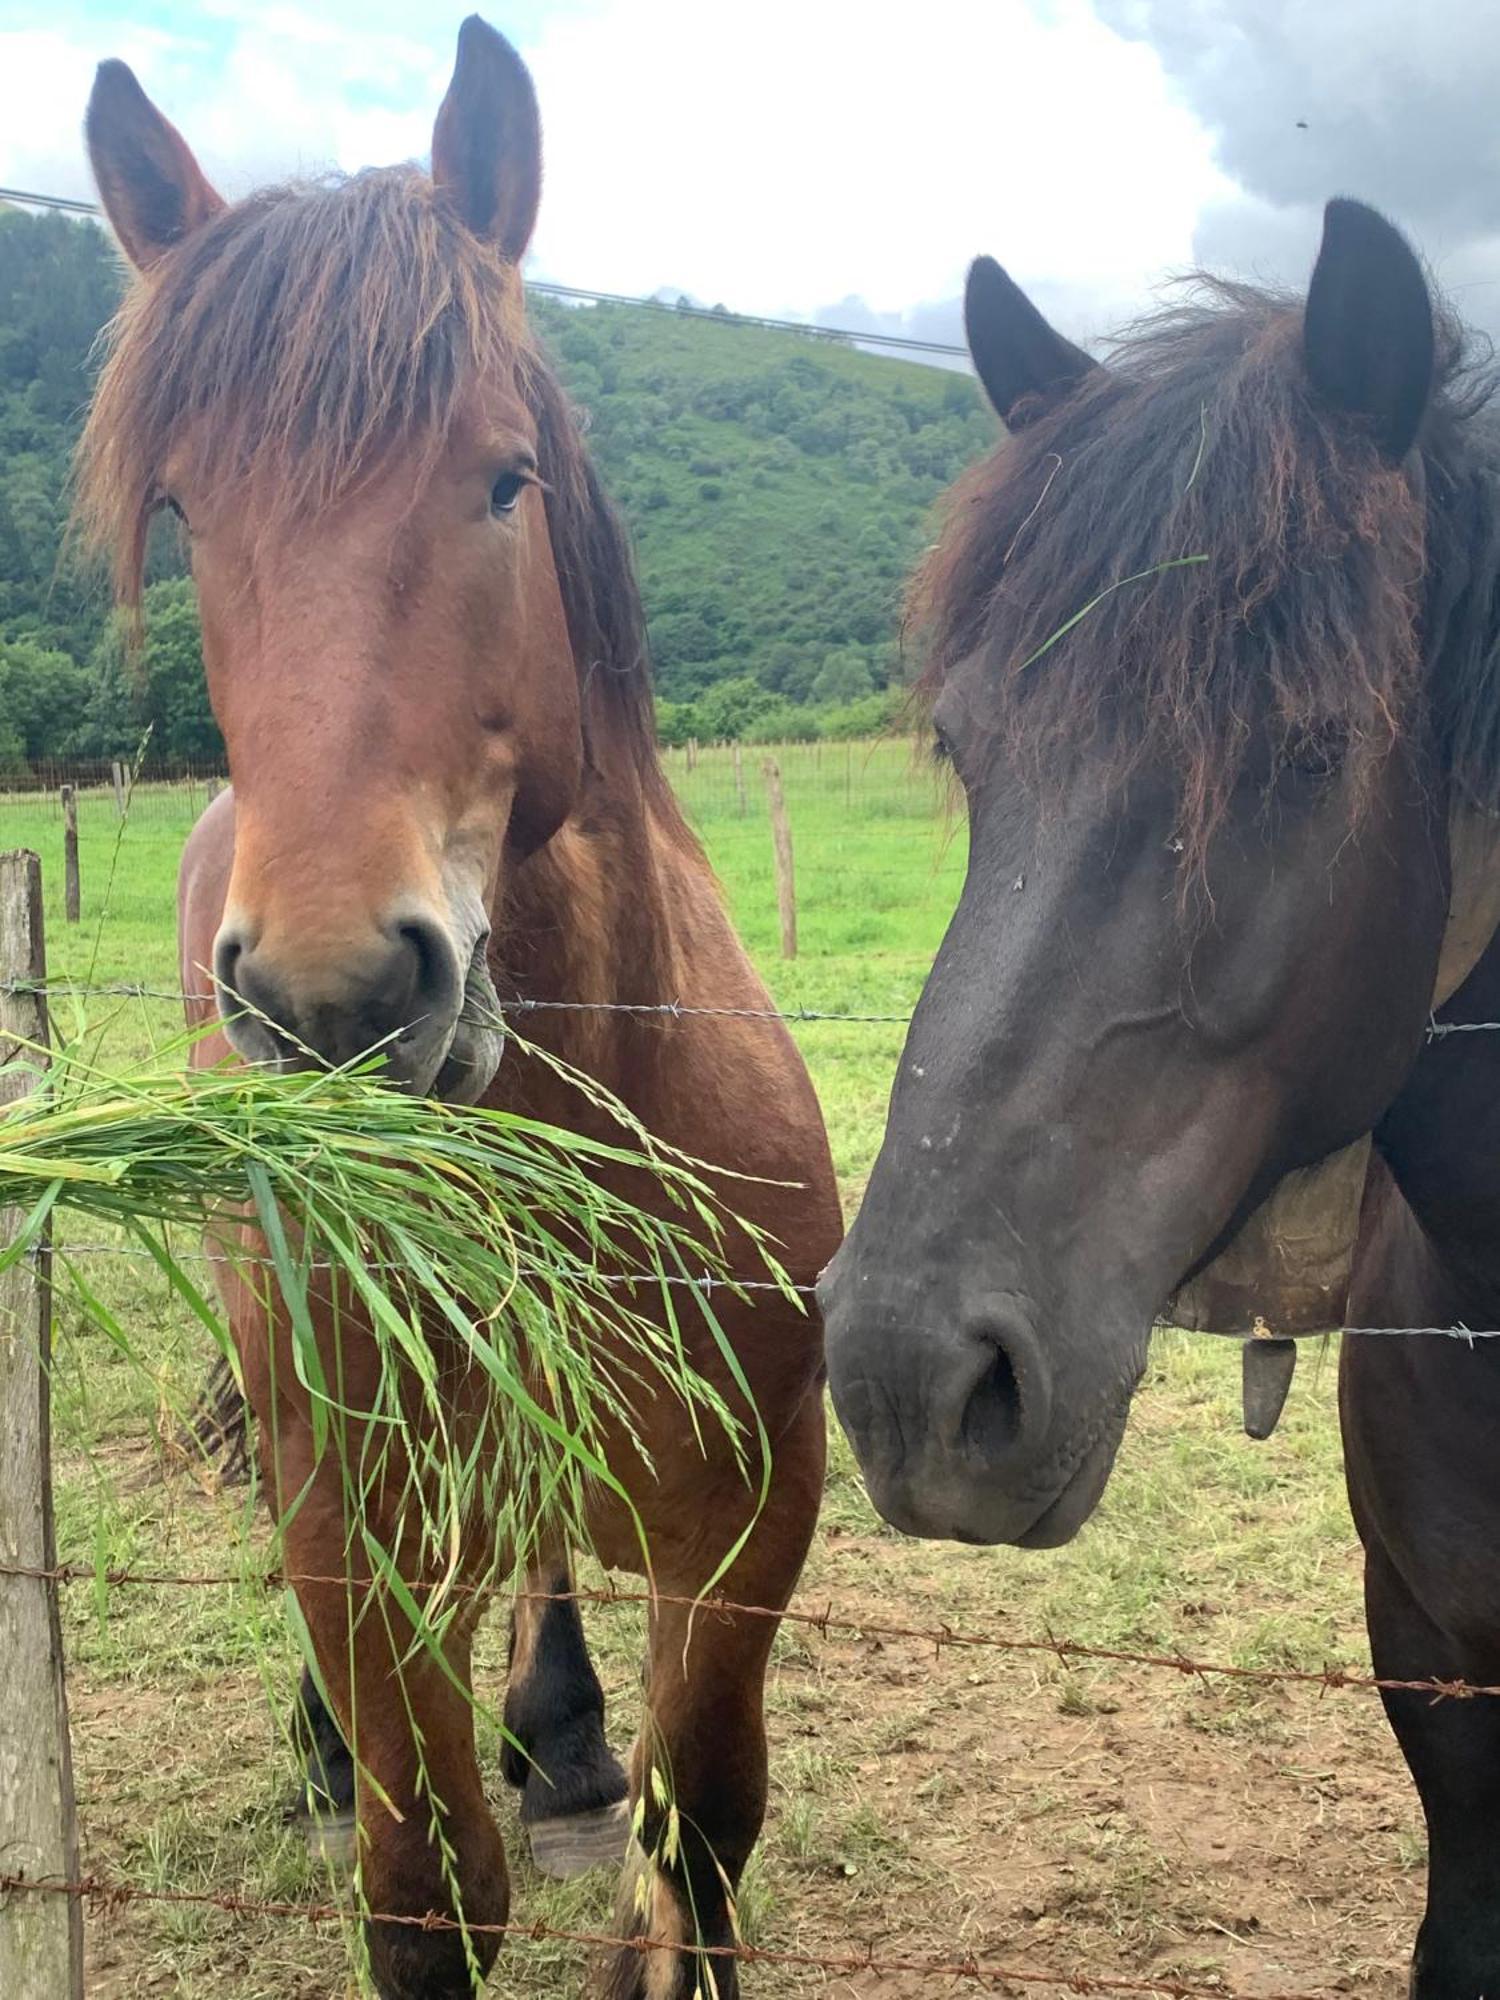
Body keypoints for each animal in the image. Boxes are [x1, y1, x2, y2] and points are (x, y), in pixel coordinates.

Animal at [79, 19, 848, 2000]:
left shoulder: (752, 1514)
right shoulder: (350, 1521)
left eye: (504, 479)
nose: (335, 994)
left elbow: (696, 1848)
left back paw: (558, 1723)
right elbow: (428, 1892)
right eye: (185, 508)